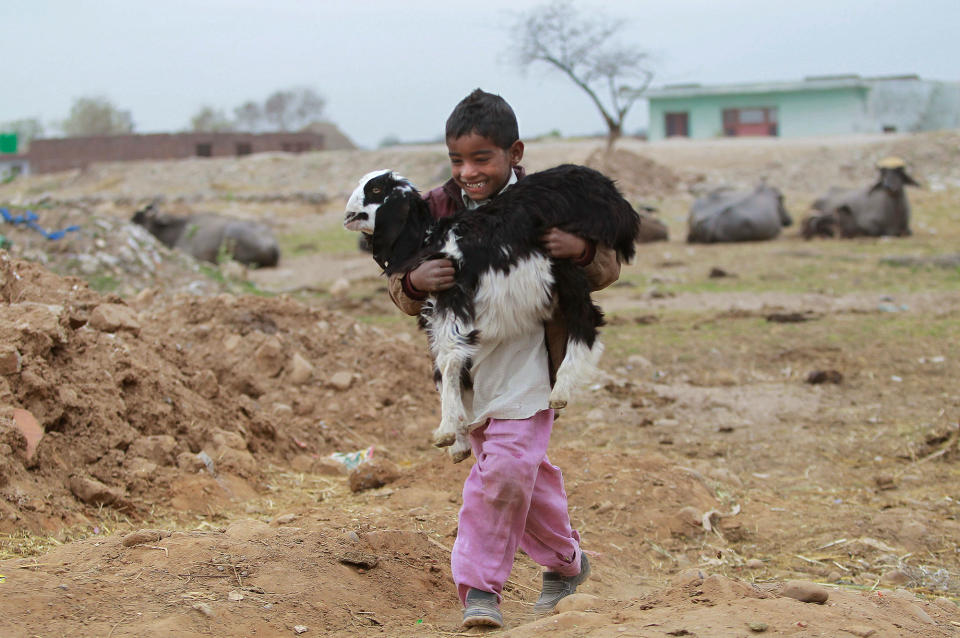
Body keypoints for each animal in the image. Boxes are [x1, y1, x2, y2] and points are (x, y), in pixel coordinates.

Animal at [342, 165, 640, 462]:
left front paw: (446, 431)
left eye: (376, 189)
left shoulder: (454, 299)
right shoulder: (432, 310)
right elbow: (443, 366)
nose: (347, 216)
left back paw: (561, 390)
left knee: (585, 317)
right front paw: (459, 443)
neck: (429, 239)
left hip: (567, 258)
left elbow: (449, 360)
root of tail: (606, 188)